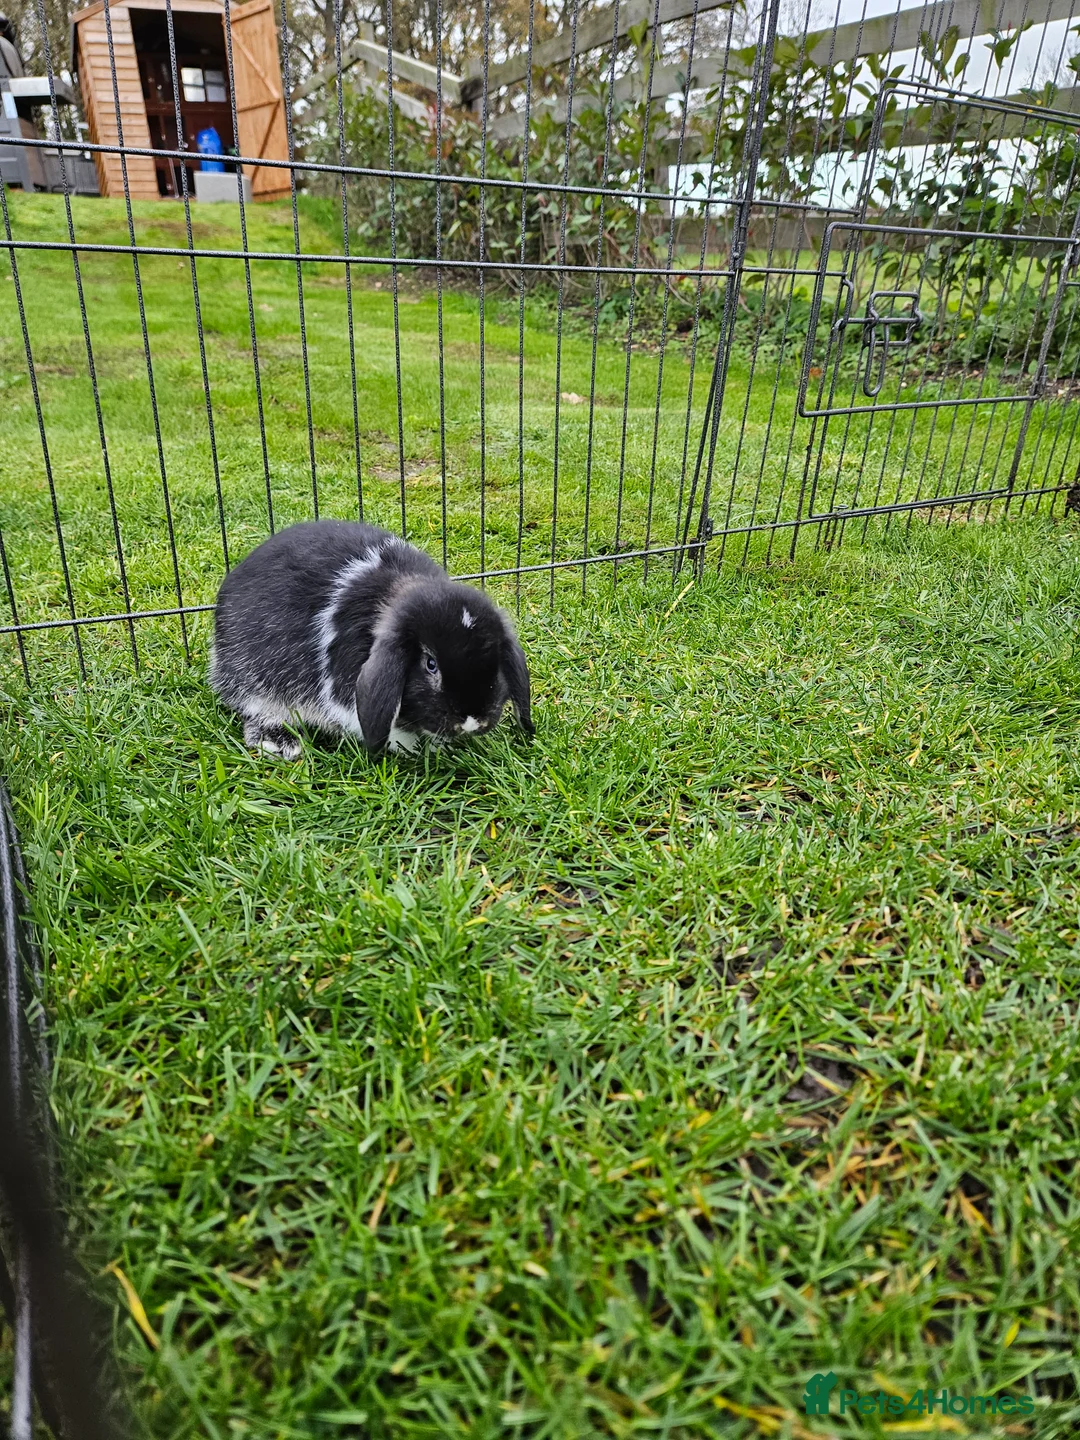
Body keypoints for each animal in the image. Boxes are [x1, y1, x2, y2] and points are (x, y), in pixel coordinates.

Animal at [209, 520, 533, 760]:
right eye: (430, 664)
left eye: (495, 663)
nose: (471, 721)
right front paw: (415, 747)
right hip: (254, 680)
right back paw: (280, 743)